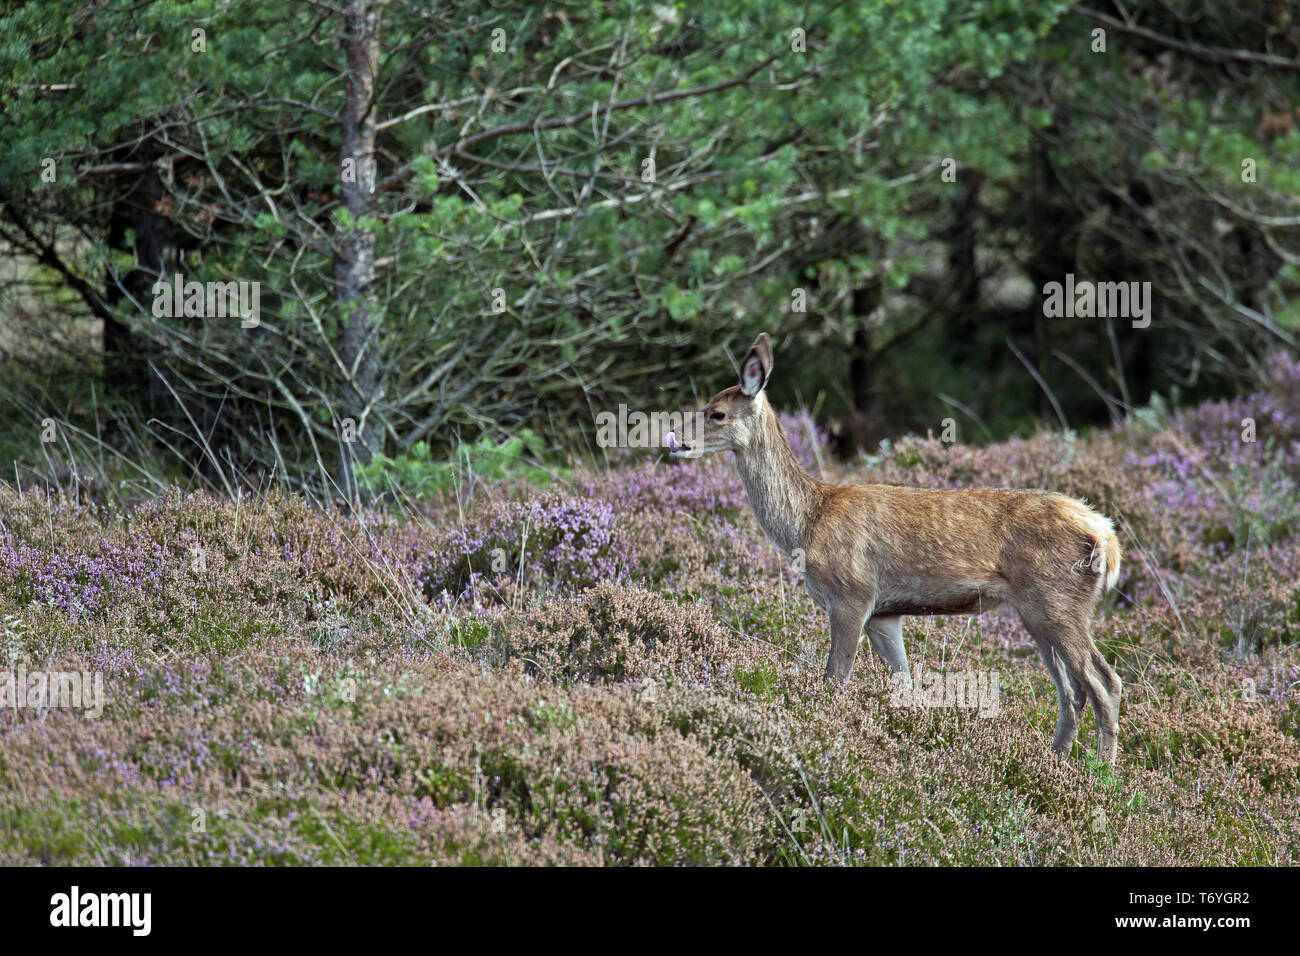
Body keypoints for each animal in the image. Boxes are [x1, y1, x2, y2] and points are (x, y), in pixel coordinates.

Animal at [666, 333, 1124, 763]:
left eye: (716, 412)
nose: (674, 438)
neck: (806, 523)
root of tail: (1105, 535)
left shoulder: (851, 594)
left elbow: (835, 677)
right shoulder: (884, 614)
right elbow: (904, 686)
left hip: (1057, 600)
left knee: (1104, 682)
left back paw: (1101, 776)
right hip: (1038, 612)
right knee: (1072, 690)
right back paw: (1056, 764)